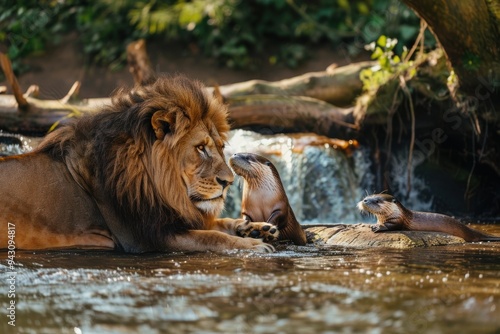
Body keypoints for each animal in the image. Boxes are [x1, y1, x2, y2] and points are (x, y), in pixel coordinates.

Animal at [0, 76, 276, 253]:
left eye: (220, 147)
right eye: (200, 148)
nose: (228, 182)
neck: (160, 186)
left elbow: (219, 224)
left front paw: (255, 228)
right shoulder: (146, 238)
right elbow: (213, 238)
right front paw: (253, 245)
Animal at [358, 193, 500, 243]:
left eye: (377, 200)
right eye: (368, 195)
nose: (365, 200)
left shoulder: (398, 221)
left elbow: (391, 226)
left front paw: (377, 227)